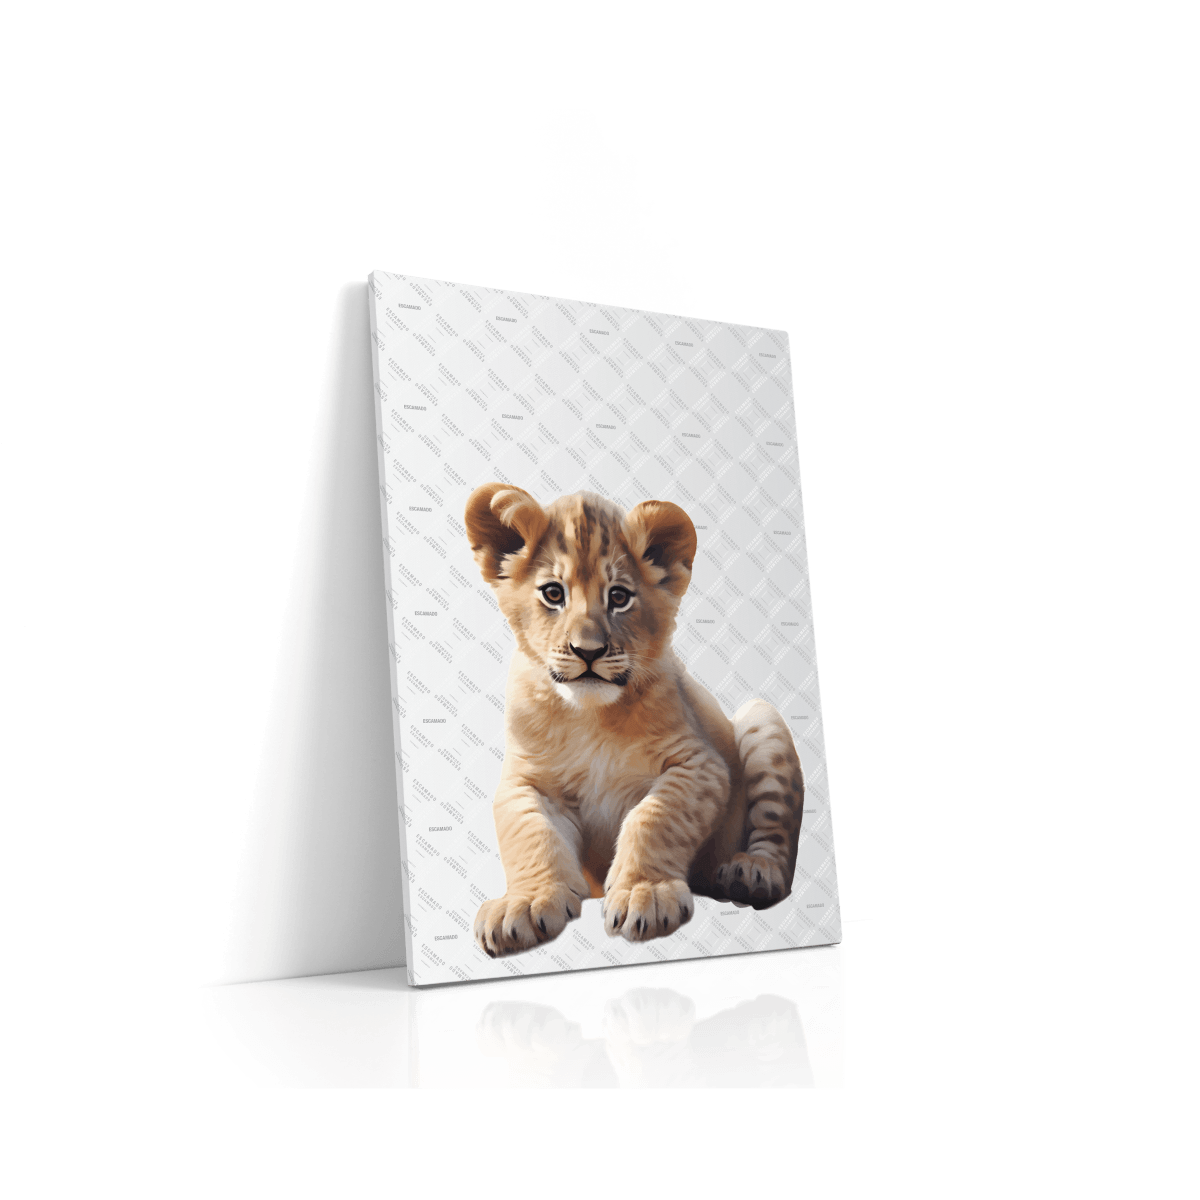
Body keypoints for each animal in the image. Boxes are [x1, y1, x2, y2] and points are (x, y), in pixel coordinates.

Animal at [465, 484, 804, 958]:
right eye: (553, 594)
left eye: (619, 597)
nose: (587, 651)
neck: (589, 716)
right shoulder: (524, 781)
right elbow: (530, 833)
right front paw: (526, 902)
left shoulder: (700, 766)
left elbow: (654, 819)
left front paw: (646, 894)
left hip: (762, 718)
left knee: (775, 832)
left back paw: (751, 872)